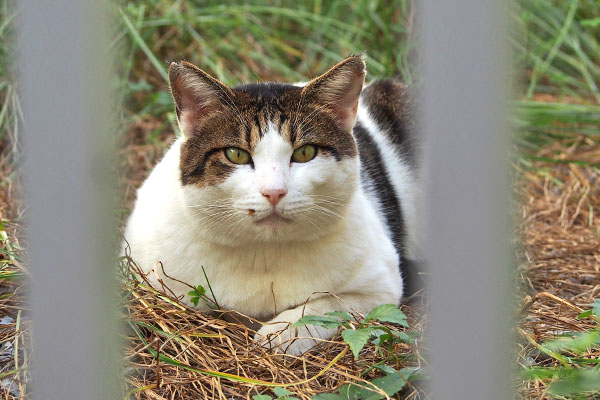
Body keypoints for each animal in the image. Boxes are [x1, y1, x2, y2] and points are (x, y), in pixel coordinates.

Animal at [123, 54, 420, 354]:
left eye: (305, 152)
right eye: (236, 154)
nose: (274, 192)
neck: (263, 254)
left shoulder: (382, 286)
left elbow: (326, 307)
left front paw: (279, 333)